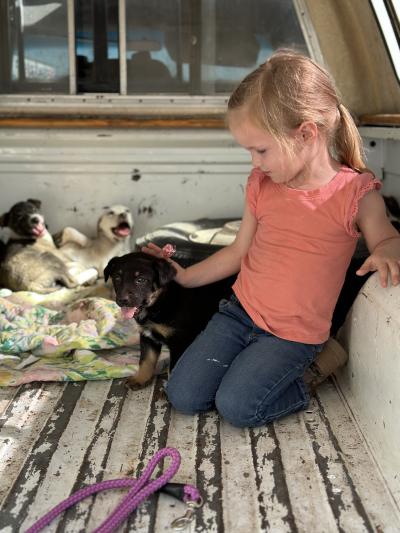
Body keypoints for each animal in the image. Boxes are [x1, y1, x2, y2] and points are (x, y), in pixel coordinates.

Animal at [104, 251, 234, 388]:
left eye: (140, 280)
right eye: (117, 278)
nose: (122, 300)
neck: (160, 302)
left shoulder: (180, 341)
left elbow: (172, 370)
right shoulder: (147, 335)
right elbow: (146, 360)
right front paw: (140, 379)